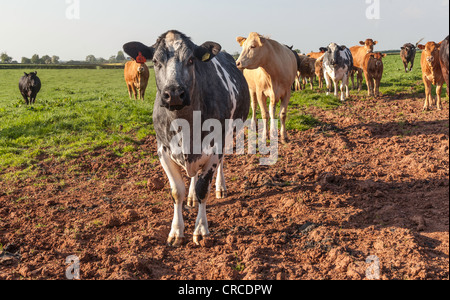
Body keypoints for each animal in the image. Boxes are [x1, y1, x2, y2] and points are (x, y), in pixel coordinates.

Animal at [123, 29, 250, 246]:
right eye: (155, 61)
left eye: (191, 60)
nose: (174, 93)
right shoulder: (163, 151)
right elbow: (177, 192)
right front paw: (176, 230)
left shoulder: (215, 147)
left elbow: (203, 190)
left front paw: (200, 229)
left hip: (231, 131)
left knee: (221, 163)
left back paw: (220, 187)